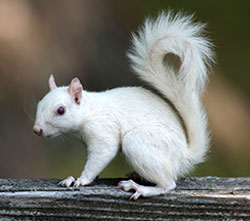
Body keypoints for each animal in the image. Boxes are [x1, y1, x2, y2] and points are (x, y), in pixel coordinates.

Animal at [33, 11, 213, 199]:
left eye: (60, 110)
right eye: (39, 104)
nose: (37, 130)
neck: (89, 111)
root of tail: (184, 155)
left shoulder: (103, 131)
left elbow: (101, 156)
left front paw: (80, 180)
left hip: (138, 142)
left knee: (168, 184)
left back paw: (139, 188)